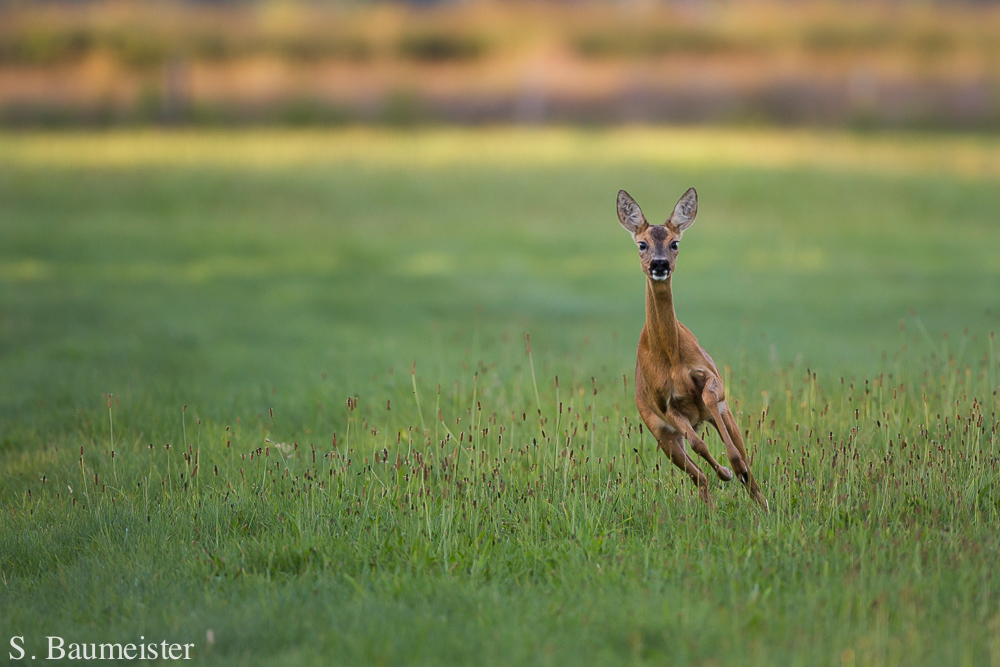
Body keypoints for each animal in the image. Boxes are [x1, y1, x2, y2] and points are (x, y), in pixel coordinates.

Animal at [612, 188, 768, 512]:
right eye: (642, 244)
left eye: (675, 243)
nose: (659, 264)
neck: (672, 357)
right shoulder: (665, 406)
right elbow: (699, 444)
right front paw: (725, 472)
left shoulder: (714, 380)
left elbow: (709, 398)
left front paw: (733, 468)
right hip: (661, 435)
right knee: (699, 477)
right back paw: (712, 504)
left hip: (725, 413)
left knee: (744, 458)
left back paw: (759, 499)